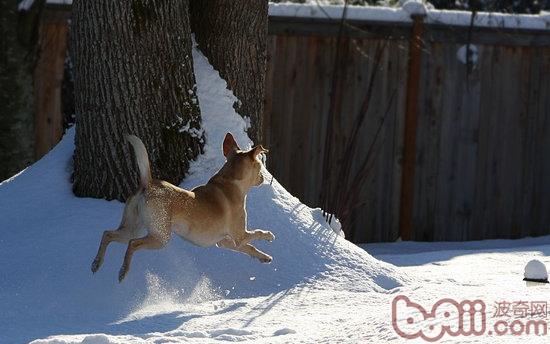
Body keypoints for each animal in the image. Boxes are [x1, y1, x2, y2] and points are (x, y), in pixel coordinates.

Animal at [93, 133, 280, 280]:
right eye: (259, 165)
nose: (263, 177)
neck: (230, 181)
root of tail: (149, 184)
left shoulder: (226, 242)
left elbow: (250, 248)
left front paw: (264, 257)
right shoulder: (239, 236)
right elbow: (256, 234)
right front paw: (269, 236)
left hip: (133, 227)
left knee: (108, 234)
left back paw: (96, 263)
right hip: (160, 237)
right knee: (132, 244)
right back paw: (123, 271)